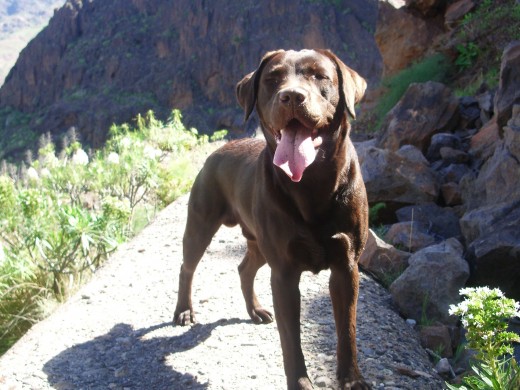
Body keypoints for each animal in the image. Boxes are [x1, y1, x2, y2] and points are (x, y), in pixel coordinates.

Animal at [175, 49, 370, 390]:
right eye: (272, 79)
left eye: (320, 76)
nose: (291, 96)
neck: (312, 185)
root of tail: (219, 149)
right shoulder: (284, 273)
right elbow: (291, 341)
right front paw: (301, 383)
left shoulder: (346, 267)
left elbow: (347, 330)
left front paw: (351, 379)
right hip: (201, 223)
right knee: (187, 267)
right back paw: (184, 311)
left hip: (258, 241)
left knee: (244, 268)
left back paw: (254, 310)